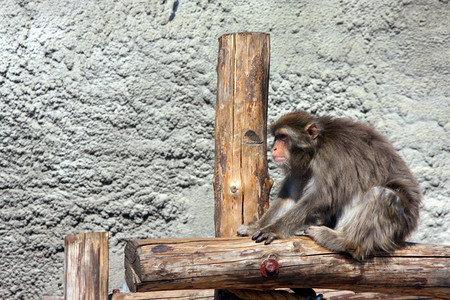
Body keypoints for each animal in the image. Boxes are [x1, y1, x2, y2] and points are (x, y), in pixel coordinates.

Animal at [237, 110, 424, 260]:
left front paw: (274, 229)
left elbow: (321, 197)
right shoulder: (300, 167)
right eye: (276, 137)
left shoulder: (331, 155)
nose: (274, 148)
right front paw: (256, 226)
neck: (315, 147)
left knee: (382, 194)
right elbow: (290, 198)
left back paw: (345, 242)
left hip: (400, 221)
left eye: (283, 137)